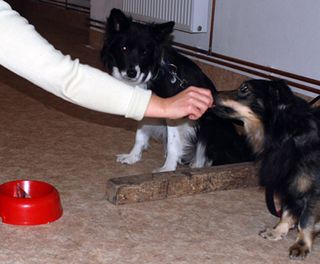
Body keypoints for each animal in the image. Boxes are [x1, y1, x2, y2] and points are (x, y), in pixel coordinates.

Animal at [101, 8, 251, 172]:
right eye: (124, 48)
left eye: (144, 52)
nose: (132, 73)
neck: (155, 74)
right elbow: (140, 135)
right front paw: (132, 157)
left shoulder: (178, 113)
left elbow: (173, 143)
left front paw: (167, 169)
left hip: (210, 125)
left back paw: (196, 165)